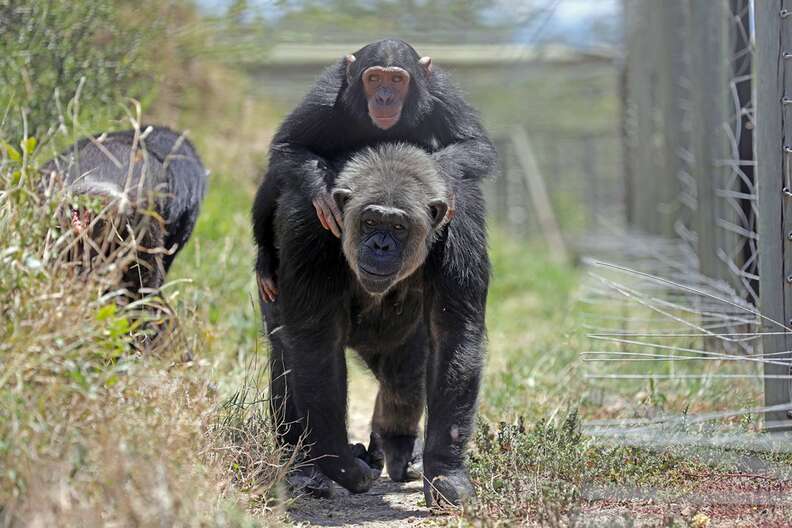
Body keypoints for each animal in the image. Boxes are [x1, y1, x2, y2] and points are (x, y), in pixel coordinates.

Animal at [251, 37, 496, 304]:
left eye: (397, 80)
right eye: (374, 79)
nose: (385, 97)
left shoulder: (442, 92)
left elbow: (475, 144)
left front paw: (439, 175)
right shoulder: (324, 96)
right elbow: (288, 145)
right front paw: (324, 195)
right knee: (276, 177)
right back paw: (265, 261)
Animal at [262, 142, 488, 506]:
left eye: (398, 227)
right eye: (369, 221)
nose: (380, 245)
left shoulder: (462, 234)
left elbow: (453, 336)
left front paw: (446, 473)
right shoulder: (308, 229)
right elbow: (316, 344)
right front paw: (343, 465)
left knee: (404, 375)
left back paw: (395, 448)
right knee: (285, 355)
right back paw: (305, 471)